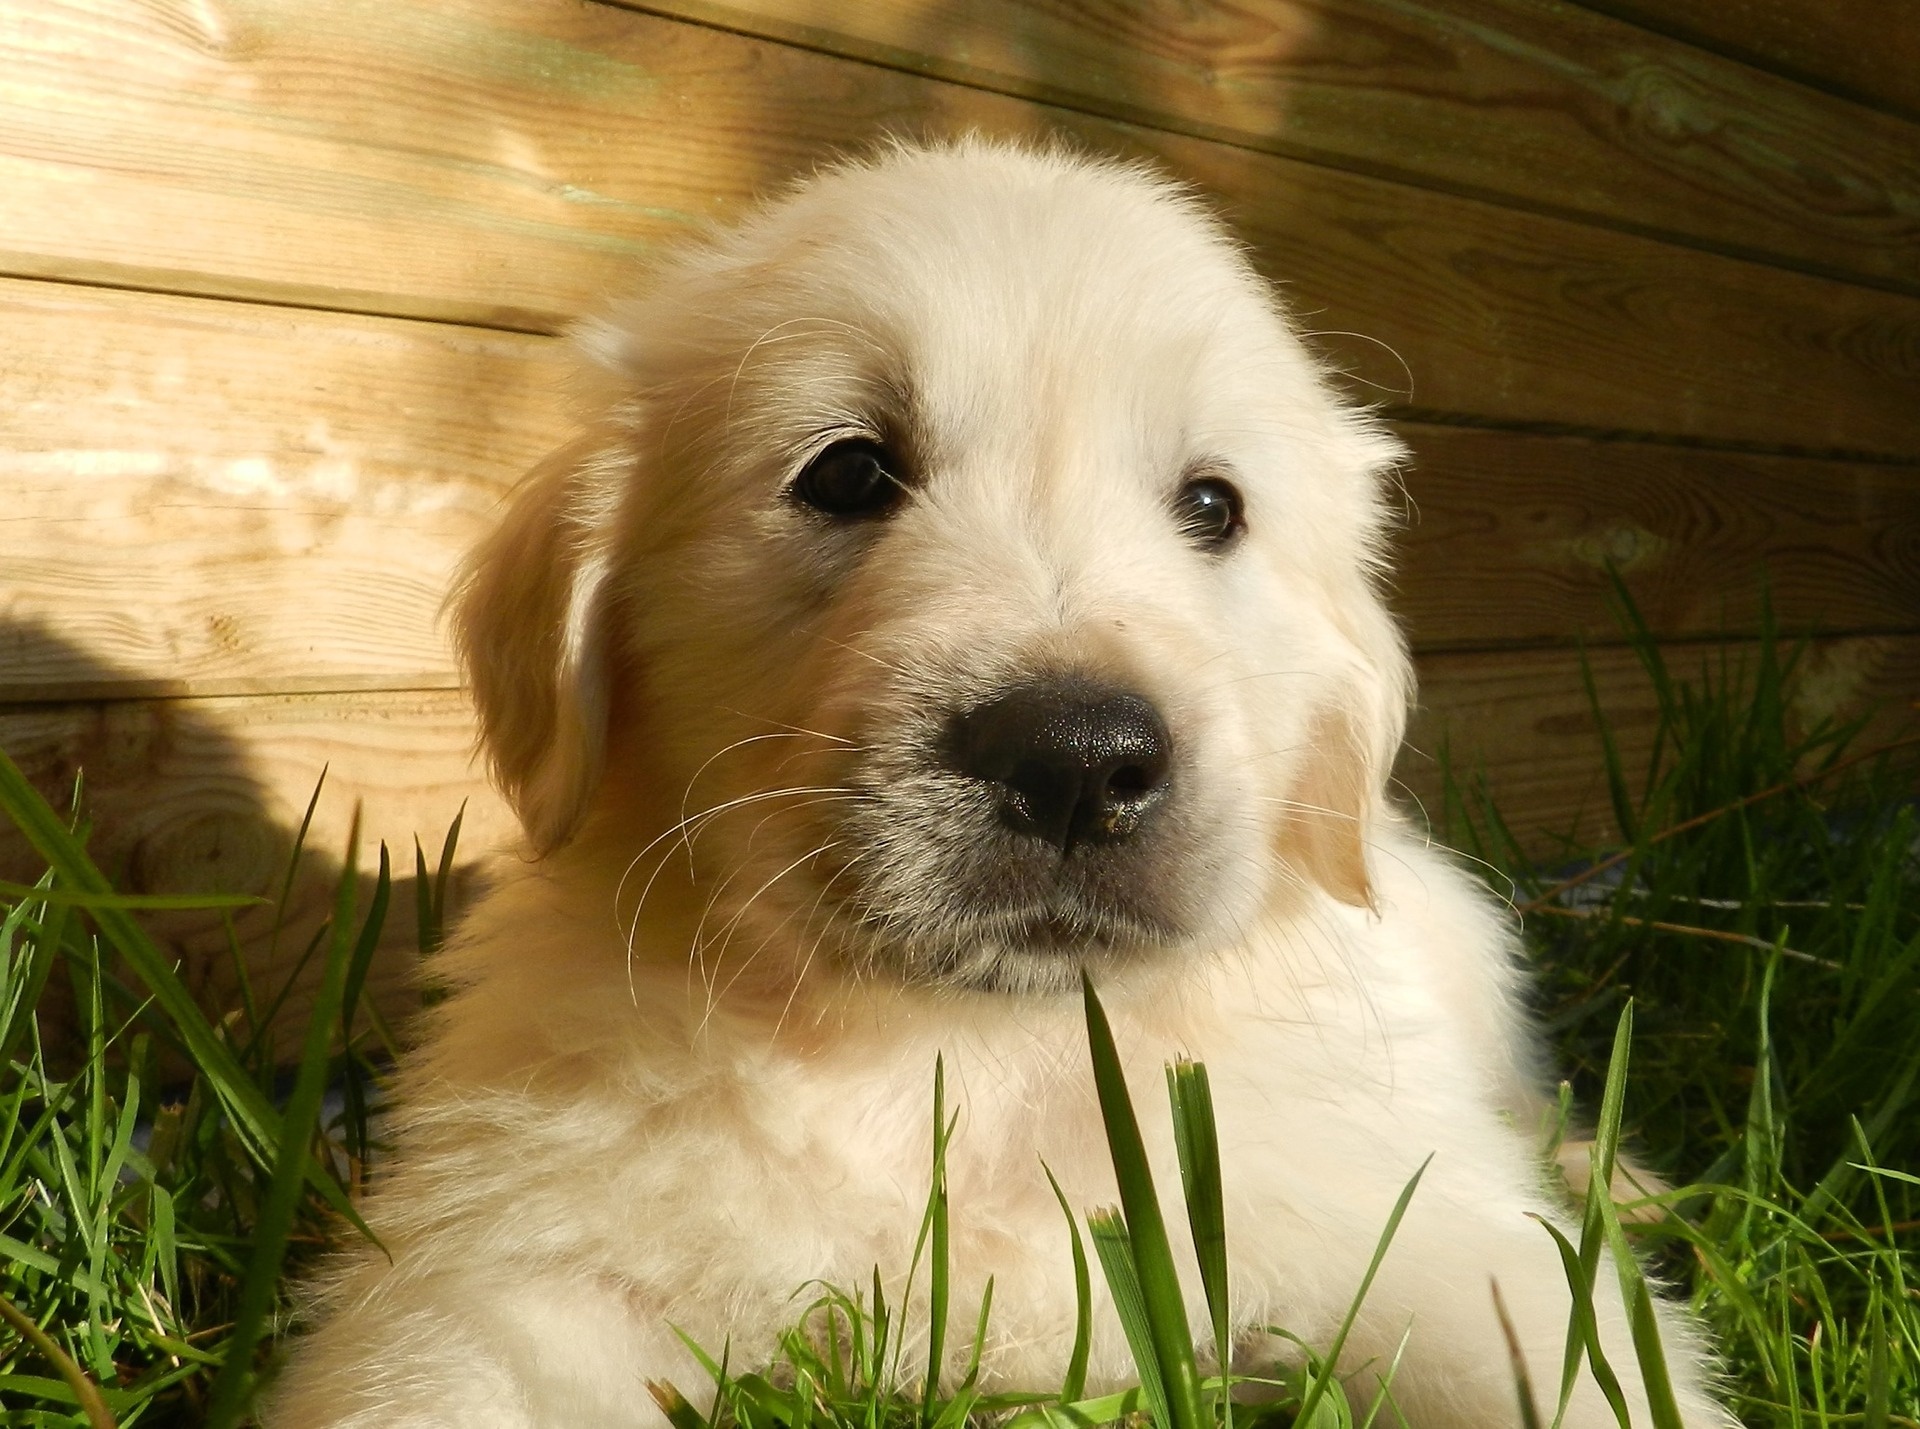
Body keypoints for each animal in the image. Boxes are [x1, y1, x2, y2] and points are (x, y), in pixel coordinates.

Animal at [266, 136, 1728, 1429]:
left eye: (1213, 507)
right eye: (848, 472)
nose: (1075, 759)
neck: (973, 1052)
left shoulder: (1423, 1228)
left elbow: (1574, 1347)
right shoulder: (512, 1271)